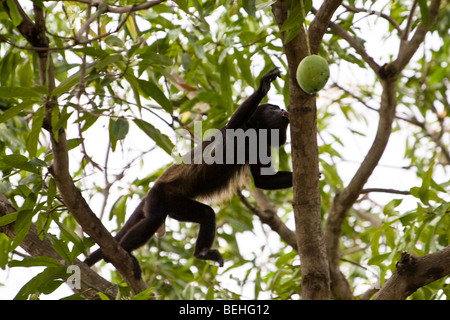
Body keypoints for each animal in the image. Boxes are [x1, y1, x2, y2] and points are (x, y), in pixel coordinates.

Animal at [85, 67, 292, 278]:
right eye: (273, 108)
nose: (282, 109)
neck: (255, 133)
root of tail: (152, 190)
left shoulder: (262, 146)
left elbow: (262, 180)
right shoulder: (238, 129)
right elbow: (234, 122)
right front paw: (262, 87)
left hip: (175, 205)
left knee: (206, 214)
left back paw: (201, 253)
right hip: (159, 195)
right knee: (154, 219)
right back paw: (123, 253)